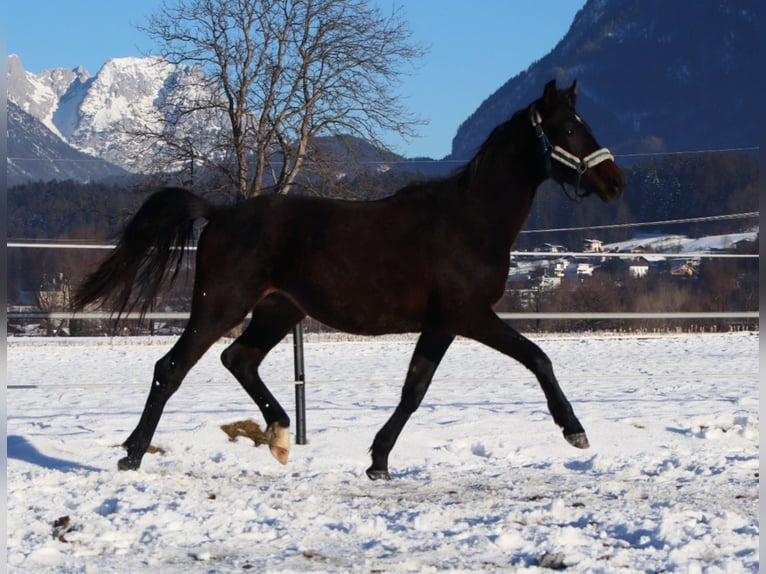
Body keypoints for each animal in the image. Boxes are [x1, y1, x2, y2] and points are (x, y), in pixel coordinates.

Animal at [73, 79, 624, 480]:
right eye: (568, 130)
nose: (615, 182)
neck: (470, 220)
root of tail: (221, 213)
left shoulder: (441, 324)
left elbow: (414, 389)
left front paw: (378, 461)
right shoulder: (467, 315)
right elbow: (537, 357)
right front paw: (574, 431)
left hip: (278, 309)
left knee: (239, 359)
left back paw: (278, 435)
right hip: (220, 305)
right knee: (171, 368)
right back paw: (133, 453)